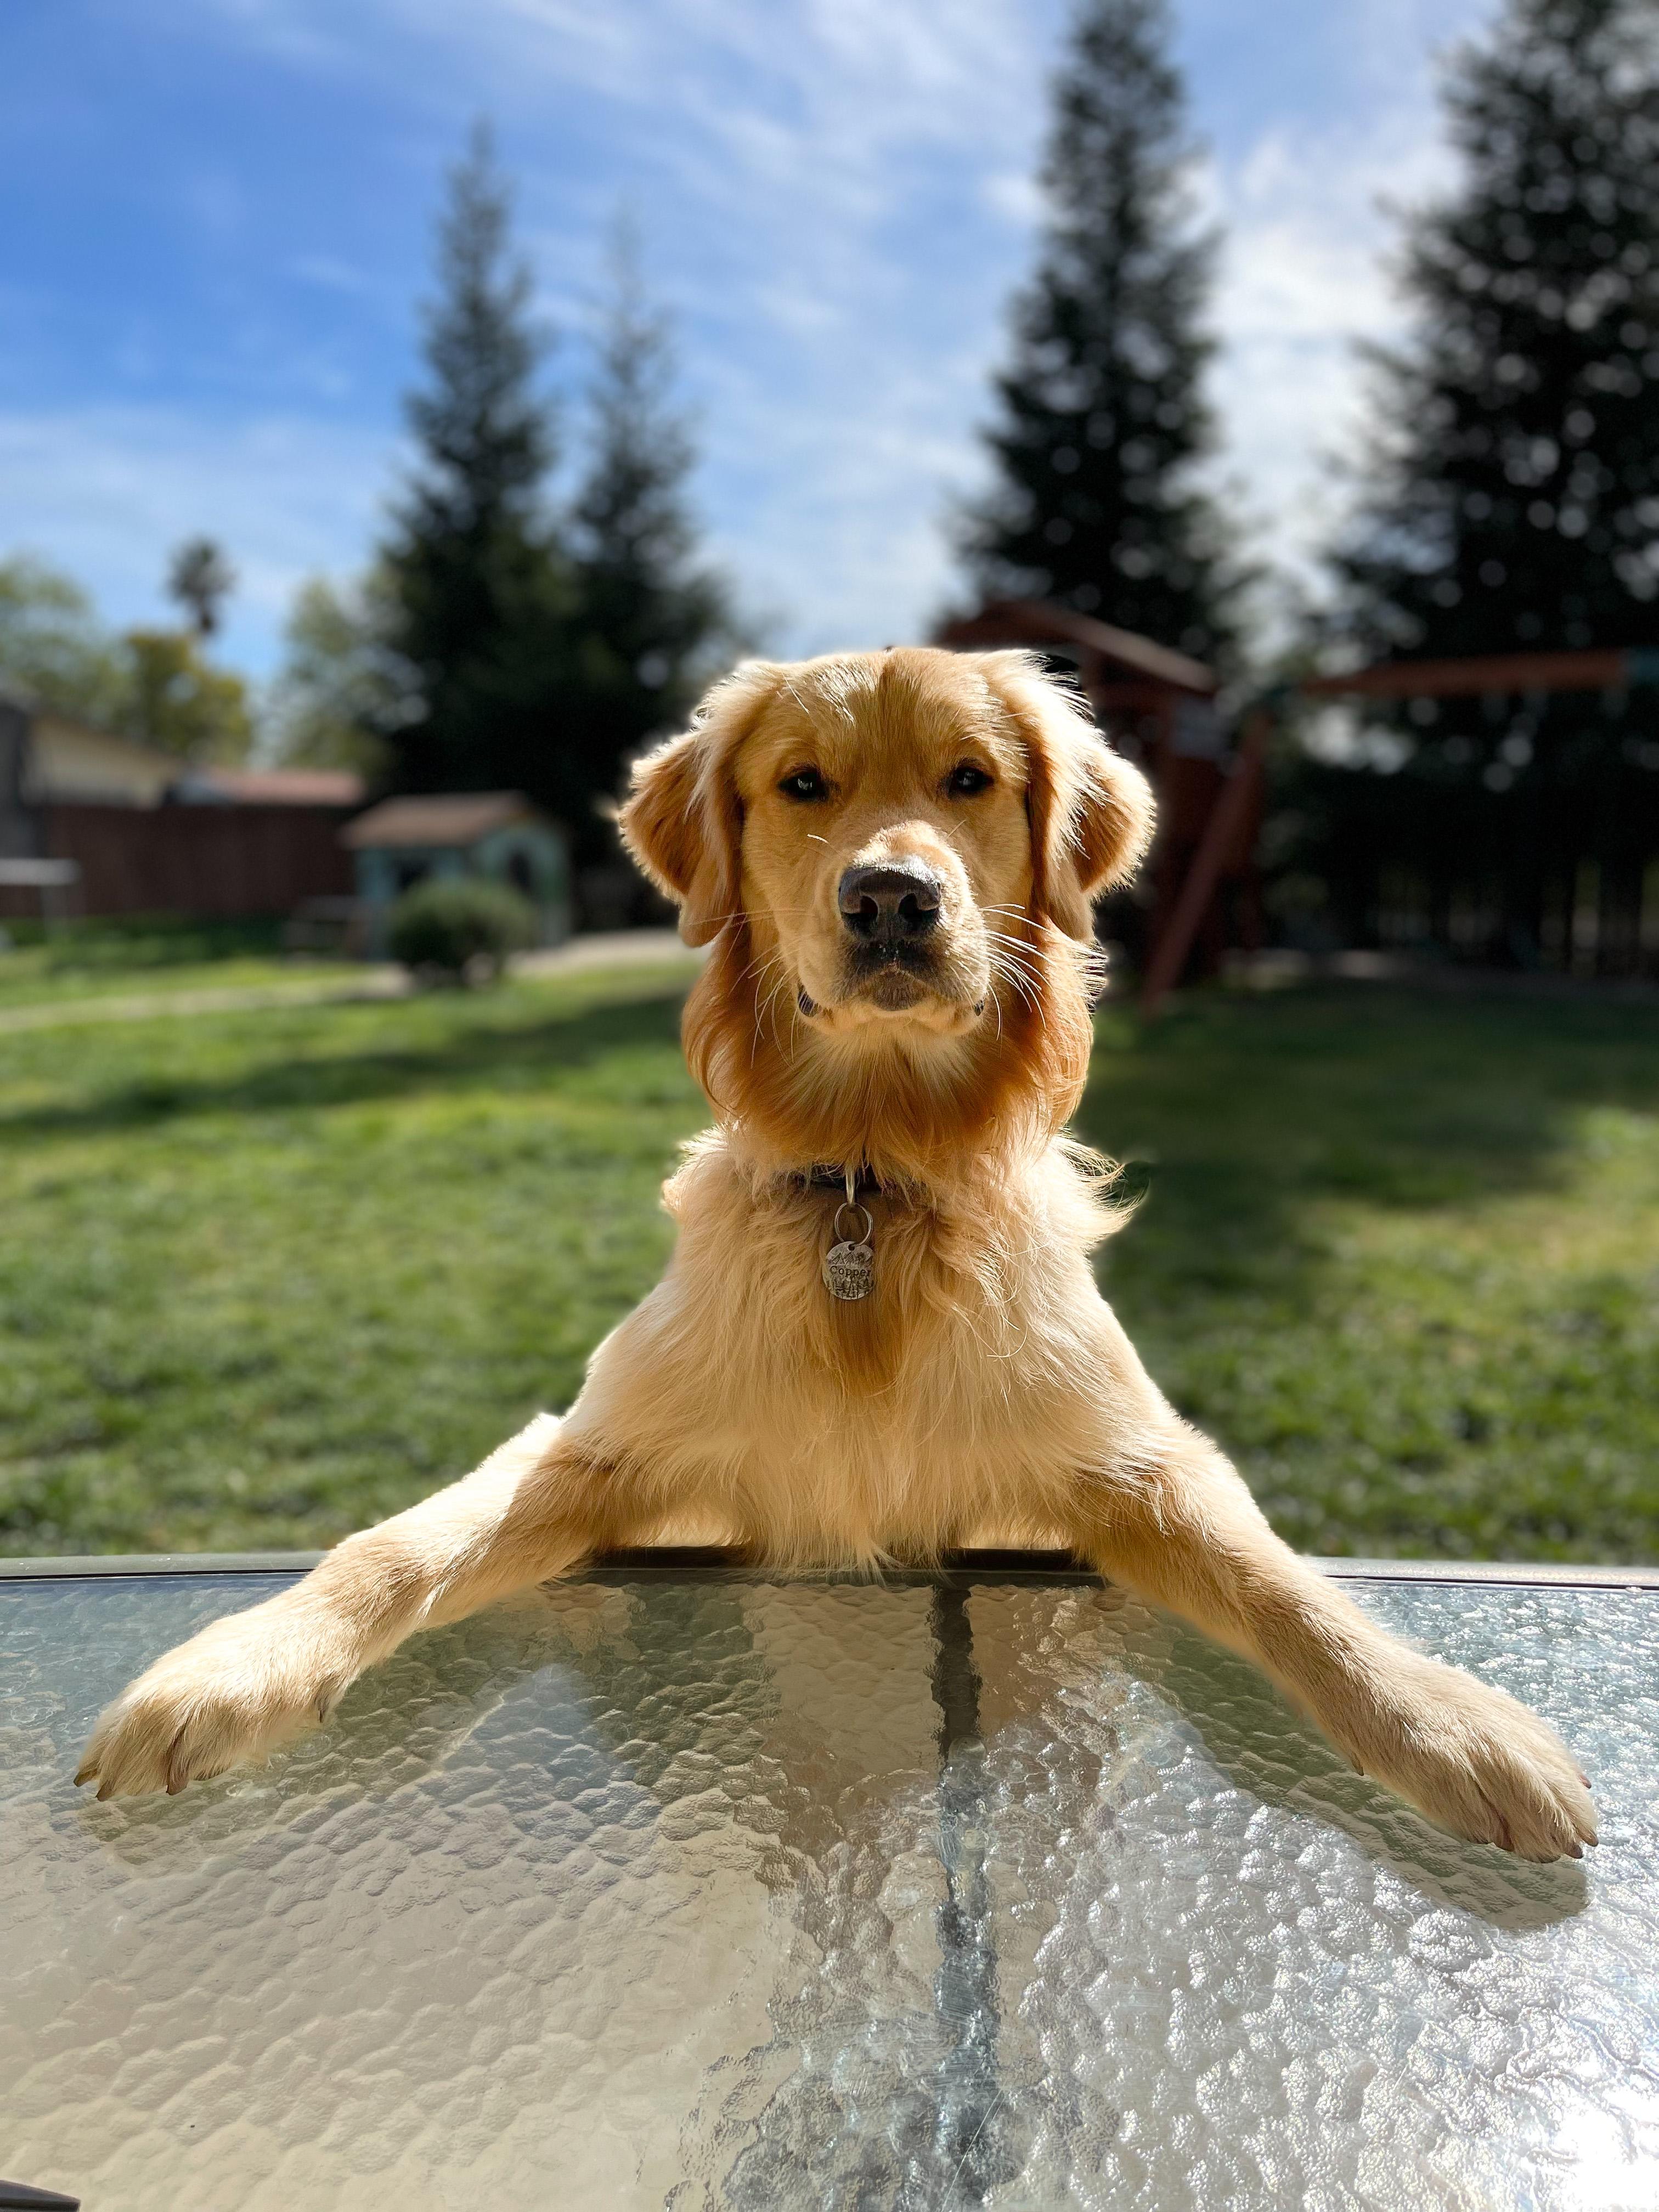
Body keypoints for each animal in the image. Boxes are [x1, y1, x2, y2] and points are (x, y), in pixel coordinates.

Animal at [78, 647, 1596, 1862]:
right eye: (804, 784)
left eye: (972, 779)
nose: (889, 902)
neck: (872, 1181)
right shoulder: (592, 1452)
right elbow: (397, 1545)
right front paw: (229, 1672)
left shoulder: (1136, 1463)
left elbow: (1288, 1587)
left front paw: (1454, 1724)